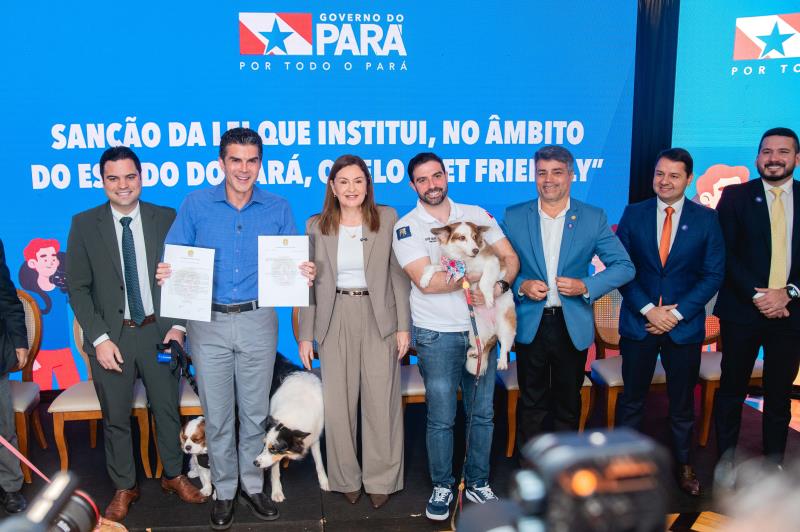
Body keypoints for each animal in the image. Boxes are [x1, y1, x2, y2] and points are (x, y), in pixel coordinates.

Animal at [253, 354, 329, 502]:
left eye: (273, 449)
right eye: (264, 445)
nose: (255, 463)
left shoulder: (314, 438)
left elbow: (319, 463)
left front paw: (325, 482)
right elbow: (275, 471)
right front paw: (277, 492)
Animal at [419, 221, 516, 375]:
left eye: (475, 237)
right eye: (462, 238)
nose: (475, 250)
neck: (466, 260)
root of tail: (493, 329)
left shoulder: (492, 263)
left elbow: (484, 282)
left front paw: (488, 297)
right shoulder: (449, 268)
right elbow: (432, 267)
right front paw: (424, 279)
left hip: (506, 325)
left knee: (505, 345)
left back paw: (502, 362)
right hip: (475, 331)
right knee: (482, 344)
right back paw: (475, 352)